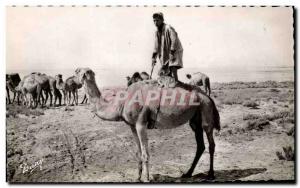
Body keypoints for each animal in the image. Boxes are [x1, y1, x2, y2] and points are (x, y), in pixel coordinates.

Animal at [75, 68, 220, 182]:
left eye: (77, 71)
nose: (73, 79)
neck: (121, 102)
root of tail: (207, 97)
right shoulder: (132, 126)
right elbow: (139, 152)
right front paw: (138, 177)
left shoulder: (141, 123)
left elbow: (145, 154)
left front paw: (146, 179)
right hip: (195, 119)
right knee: (200, 145)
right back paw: (187, 173)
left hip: (205, 109)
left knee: (211, 142)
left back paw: (211, 174)